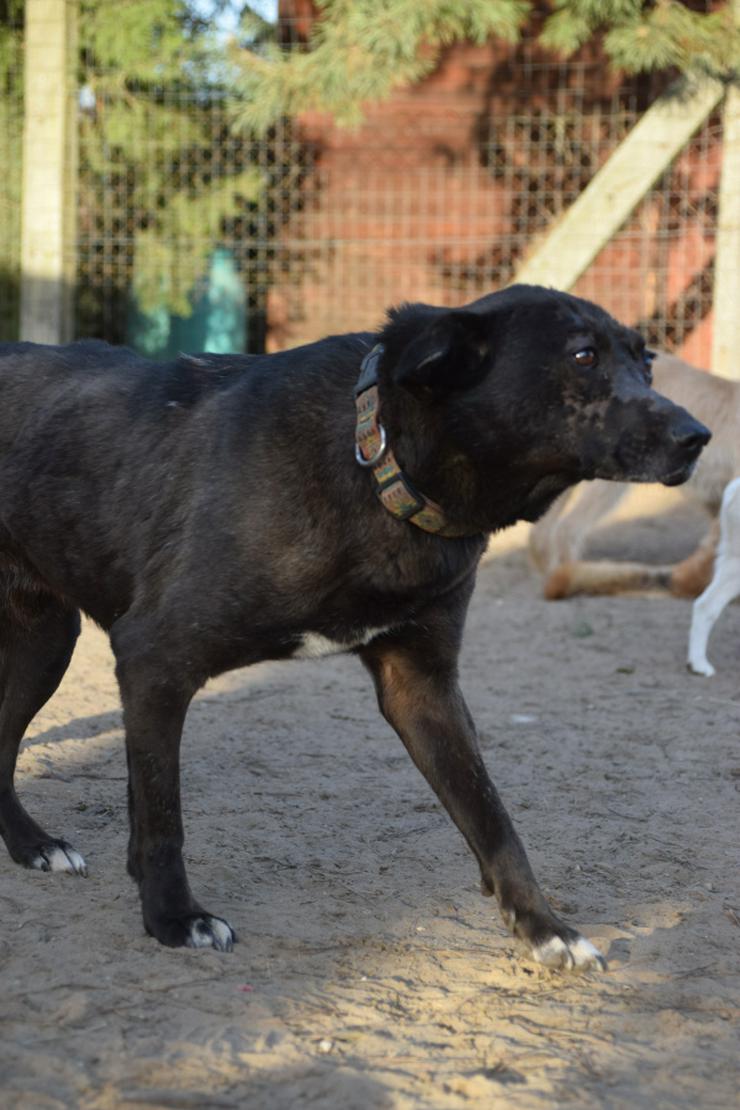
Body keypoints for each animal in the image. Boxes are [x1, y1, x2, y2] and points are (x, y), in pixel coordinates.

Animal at [0, 288, 710, 972]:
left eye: (646, 363)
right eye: (584, 357)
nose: (697, 435)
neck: (376, 457)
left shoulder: (421, 686)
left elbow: (493, 817)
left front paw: (544, 927)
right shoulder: (154, 660)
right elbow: (162, 814)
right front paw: (174, 919)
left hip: (45, 644)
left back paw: (31, 845)